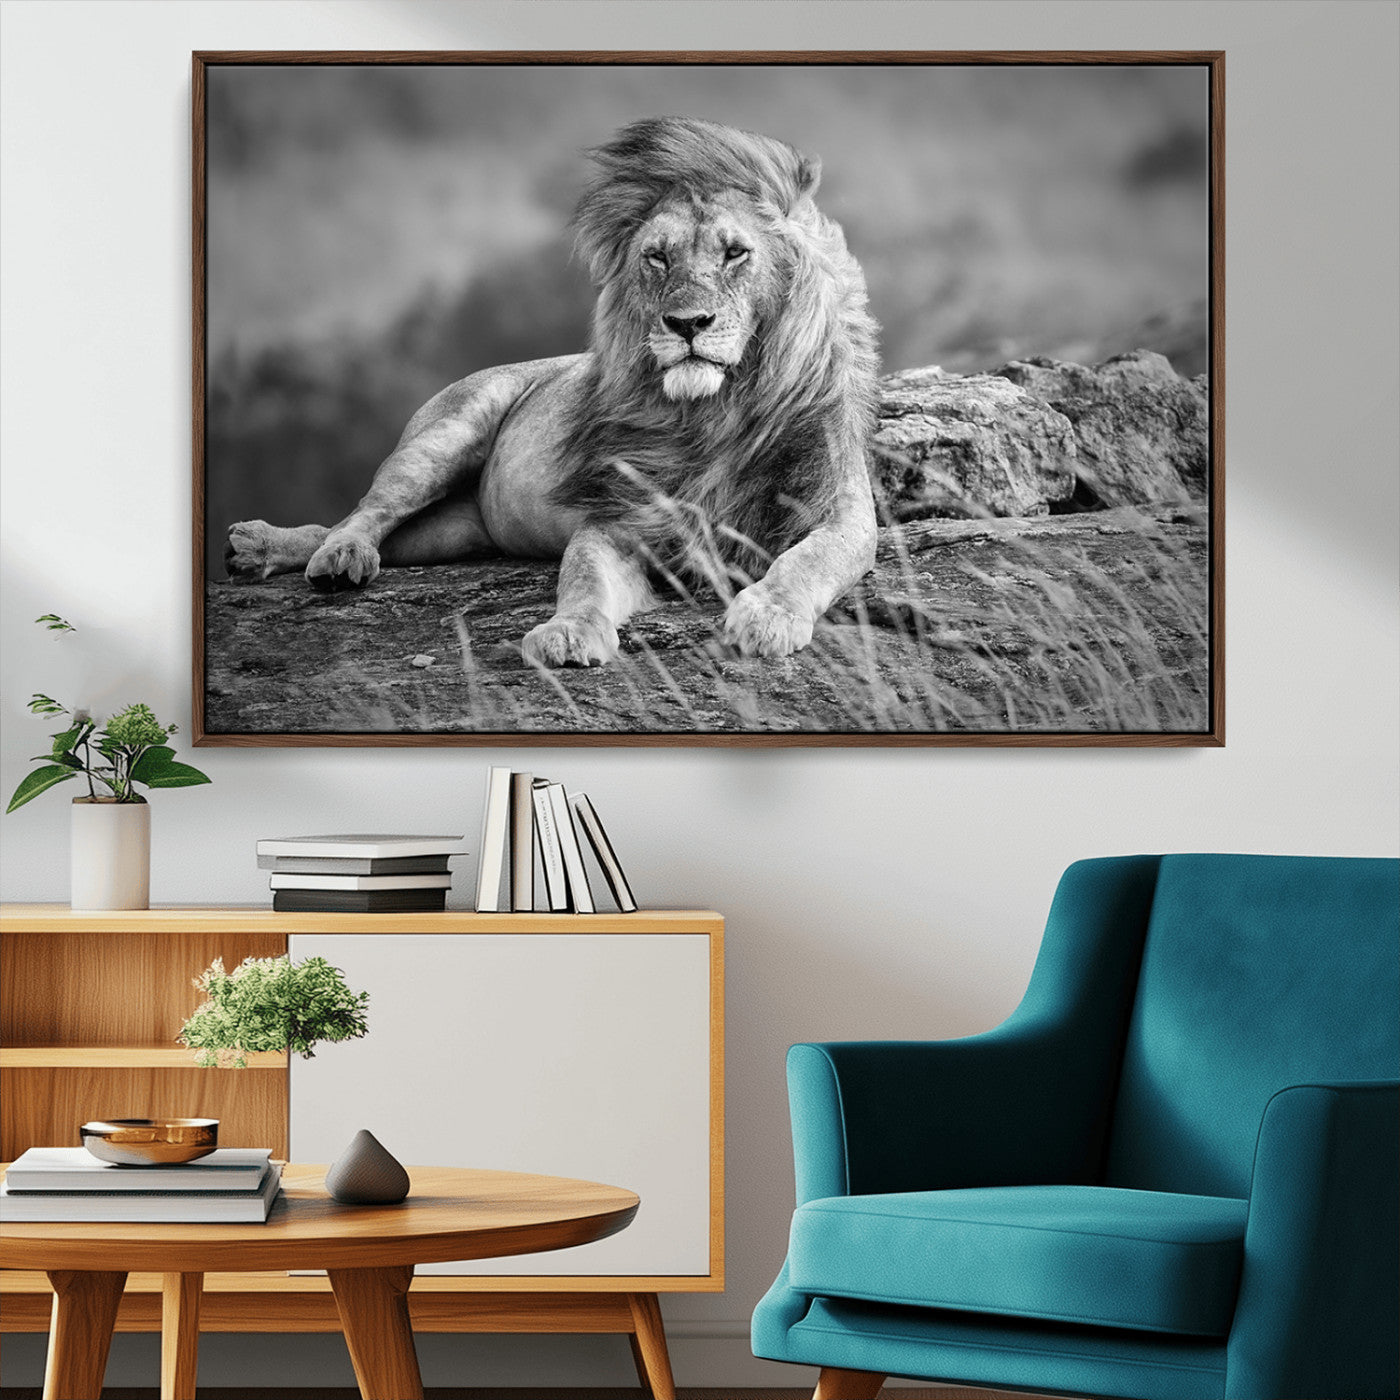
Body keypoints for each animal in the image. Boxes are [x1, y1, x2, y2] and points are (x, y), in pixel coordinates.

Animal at [225, 116, 880, 667]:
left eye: (735, 252)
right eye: (657, 258)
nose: (687, 324)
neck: (714, 413)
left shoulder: (841, 512)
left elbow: (806, 560)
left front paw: (767, 615)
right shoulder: (618, 519)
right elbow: (583, 578)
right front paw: (569, 633)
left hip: (454, 532)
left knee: (368, 531)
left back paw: (263, 550)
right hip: (443, 437)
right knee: (365, 512)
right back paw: (323, 555)